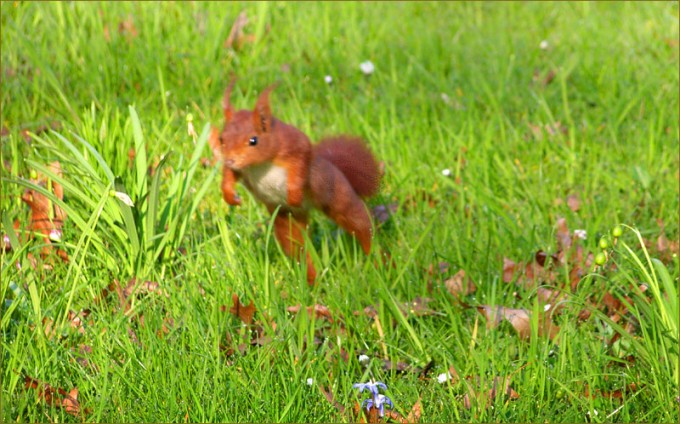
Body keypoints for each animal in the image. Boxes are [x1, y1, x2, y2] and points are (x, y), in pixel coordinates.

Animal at [210, 80, 381, 284]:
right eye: (221, 139)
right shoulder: (240, 169)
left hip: (338, 196)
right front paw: (230, 196)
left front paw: (294, 194)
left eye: (253, 140)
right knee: (298, 248)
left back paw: (381, 262)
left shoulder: (294, 144)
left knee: (361, 224)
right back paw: (312, 280)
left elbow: (300, 164)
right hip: (287, 219)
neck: (259, 163)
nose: (230, 159)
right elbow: (229, 176)